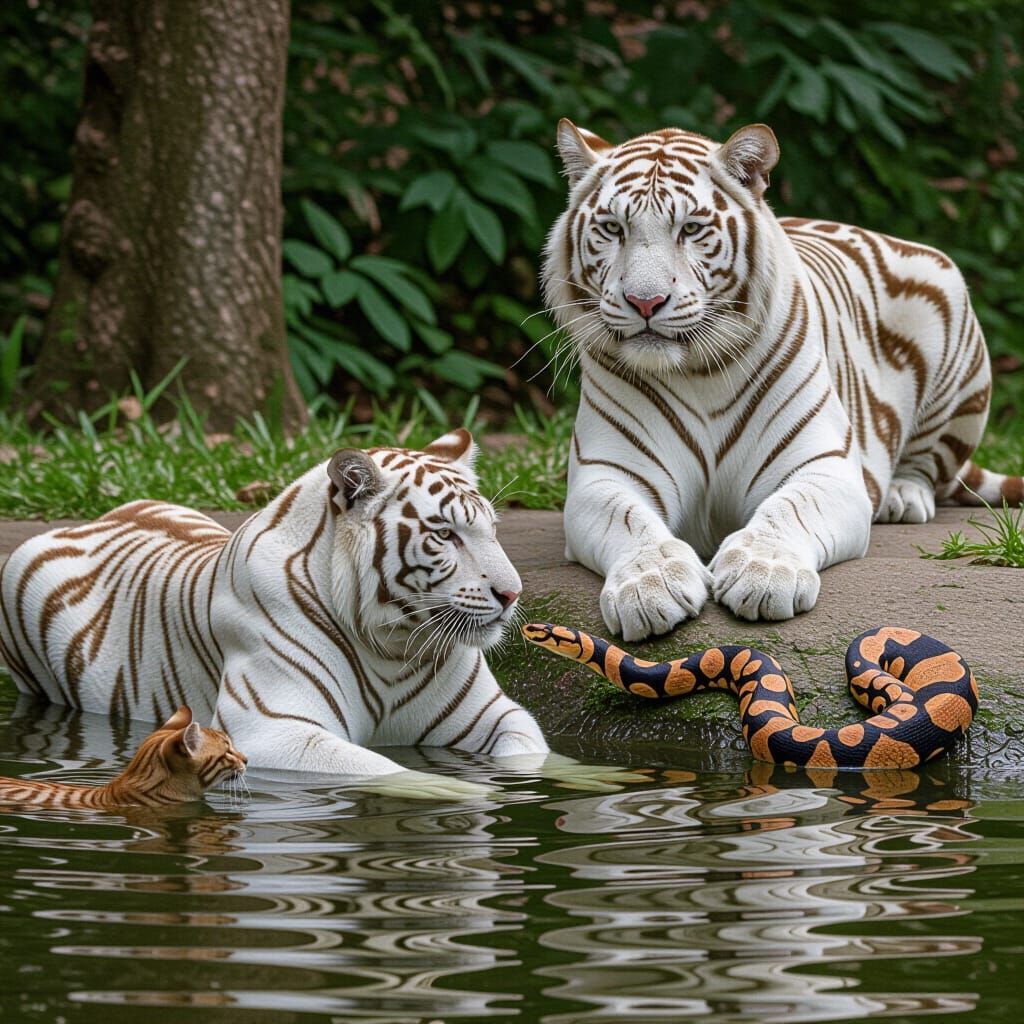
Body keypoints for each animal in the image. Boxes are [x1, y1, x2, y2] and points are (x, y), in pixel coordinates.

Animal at [0, 430, 548, 784]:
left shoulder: (496, 717)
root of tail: (92, 519)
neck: (392, 645)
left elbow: (535, 756)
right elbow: (398, 775)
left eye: (492, 530)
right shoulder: (276, 730)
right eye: (445, 534)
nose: (512, 593)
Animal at [542, 118, 1022, 641]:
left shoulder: (823, 465)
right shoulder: (605, 474)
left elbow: (788, 511)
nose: (644, 302)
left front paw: (763, 573)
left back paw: (901, 496)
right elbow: (630, 521)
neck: (697, 373)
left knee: (928, 464)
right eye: (613, 228)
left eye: (691, 228)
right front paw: (650, 585)